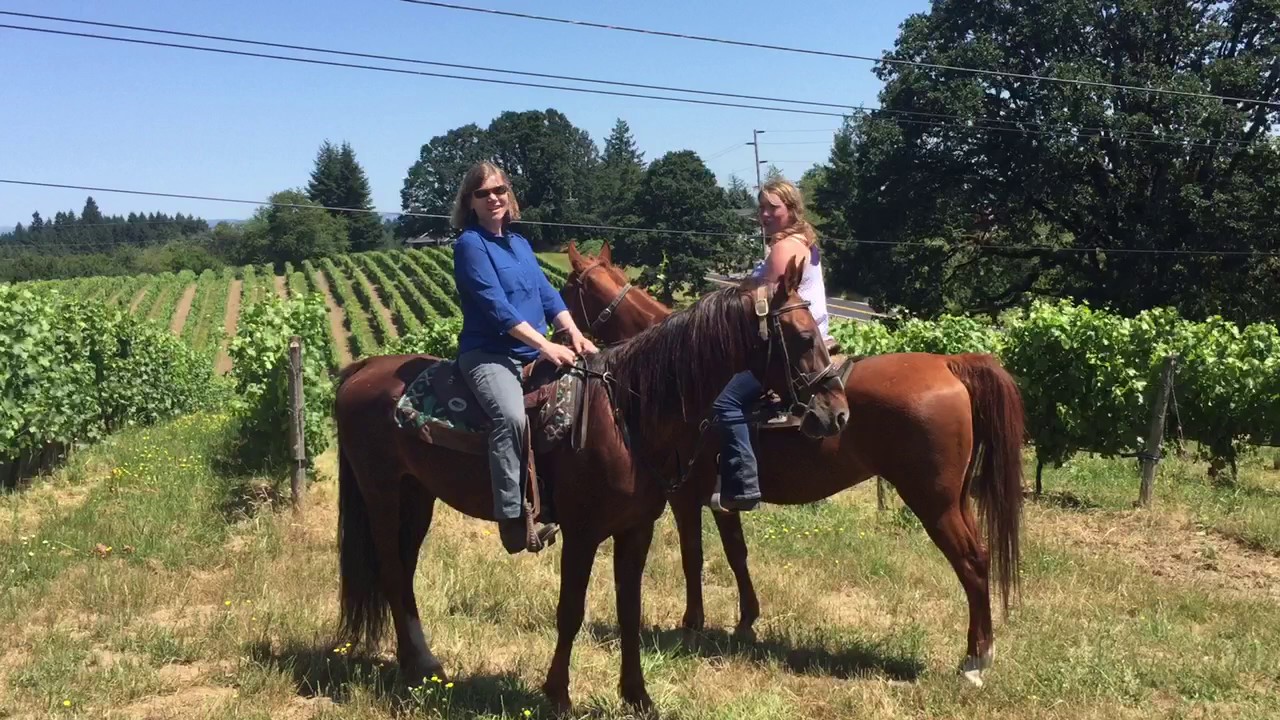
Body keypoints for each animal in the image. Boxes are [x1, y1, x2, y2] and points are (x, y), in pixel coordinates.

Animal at [332, 259, 850, 713]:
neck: (626, 413)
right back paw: (413, 667)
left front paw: (637, 696)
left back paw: (421, 661)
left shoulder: (637, 529)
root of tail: (363, 369)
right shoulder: (582, 534)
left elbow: (629, 610)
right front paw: (559, 695)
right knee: (392, 570)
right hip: (381, 492)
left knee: (403, 570)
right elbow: (571, 611)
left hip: (416, 497)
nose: (837, 412)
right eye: (803, 337)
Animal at [561, 241, 1027, 686]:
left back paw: (975, 660)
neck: (680, 382)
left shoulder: (685, 495)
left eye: (566, 291)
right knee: (981, 555)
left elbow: (692, 555)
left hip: (934, 502)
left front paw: (692, 625)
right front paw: (746, 621)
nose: (560, 335)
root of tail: (949, 363)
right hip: (955, 499)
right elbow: (736, 552)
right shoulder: (724, 497)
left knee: (971, 561)